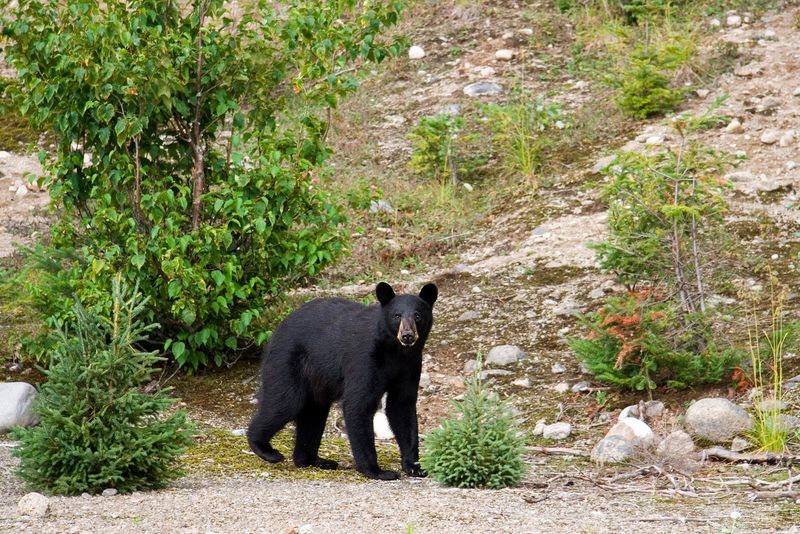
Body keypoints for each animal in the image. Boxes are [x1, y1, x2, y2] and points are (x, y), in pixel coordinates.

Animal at [248, 280, 440, 482]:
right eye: (397, 316)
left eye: (418, 315)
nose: (407, 335)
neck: (395, 351)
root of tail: (276, 331)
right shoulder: (364, 360)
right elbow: (359, 404)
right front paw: (377, 470)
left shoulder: (410, 366)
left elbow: (402, 407)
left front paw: (415, 467)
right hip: (288, 361)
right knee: (285, 402)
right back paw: (266, 449)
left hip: (317, 381)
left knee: (313, 413)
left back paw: (313, 460)